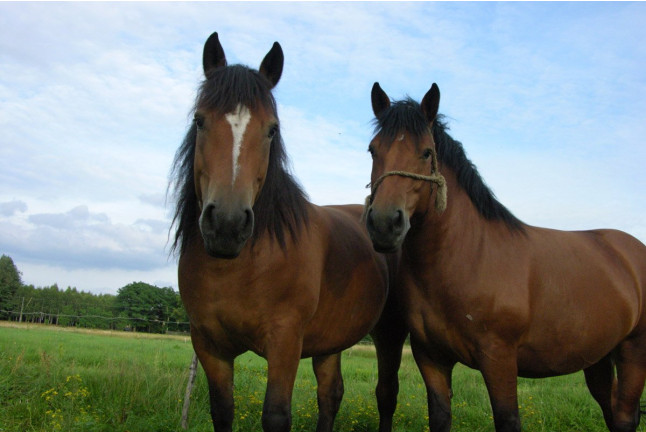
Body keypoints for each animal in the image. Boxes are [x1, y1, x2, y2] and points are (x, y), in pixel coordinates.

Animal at [169, 32, 407, 432]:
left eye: (272, 129)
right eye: (200, 121)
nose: (227, 224)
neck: (240, 265)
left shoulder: (285, 342)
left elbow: (276, 415)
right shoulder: (209, 346)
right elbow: (222, 411)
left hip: (390, 334)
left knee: (386, 395)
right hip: (330, 342)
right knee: (331, 394)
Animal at [363, 81, 646, 432]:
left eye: (426, 152)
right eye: (373, 150)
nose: (384, 224)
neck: (468, 257)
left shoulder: (499, 360)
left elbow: (507, 419)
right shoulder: (431, 358)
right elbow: (440, 417)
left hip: (634, 350)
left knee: (625, 416)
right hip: (597, 357)